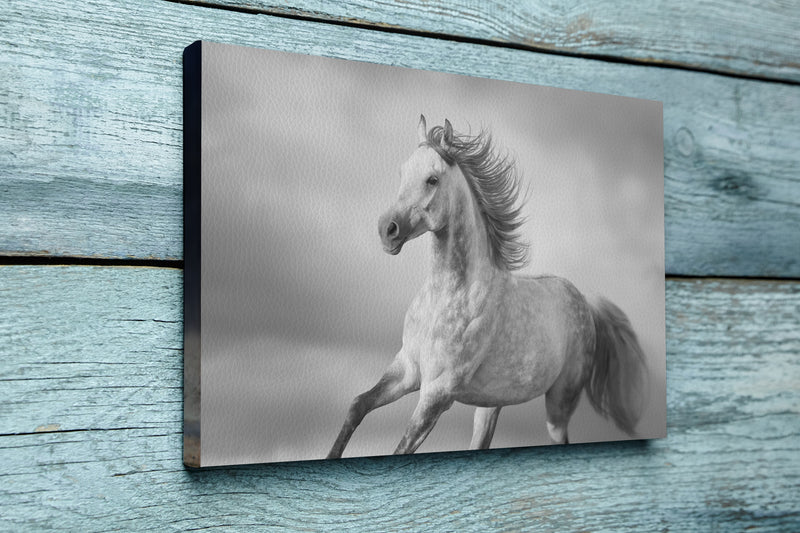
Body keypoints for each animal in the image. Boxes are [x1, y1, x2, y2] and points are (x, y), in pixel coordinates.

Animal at [328, 116, 648, 458]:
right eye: (402, 173)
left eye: (432, 180)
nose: (387, 230)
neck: (446, 298)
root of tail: (586, 304)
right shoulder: (406, 370)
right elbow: (357, 406)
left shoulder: (437, 393)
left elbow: (401, 449)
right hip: (490, 405)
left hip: (559, 403)